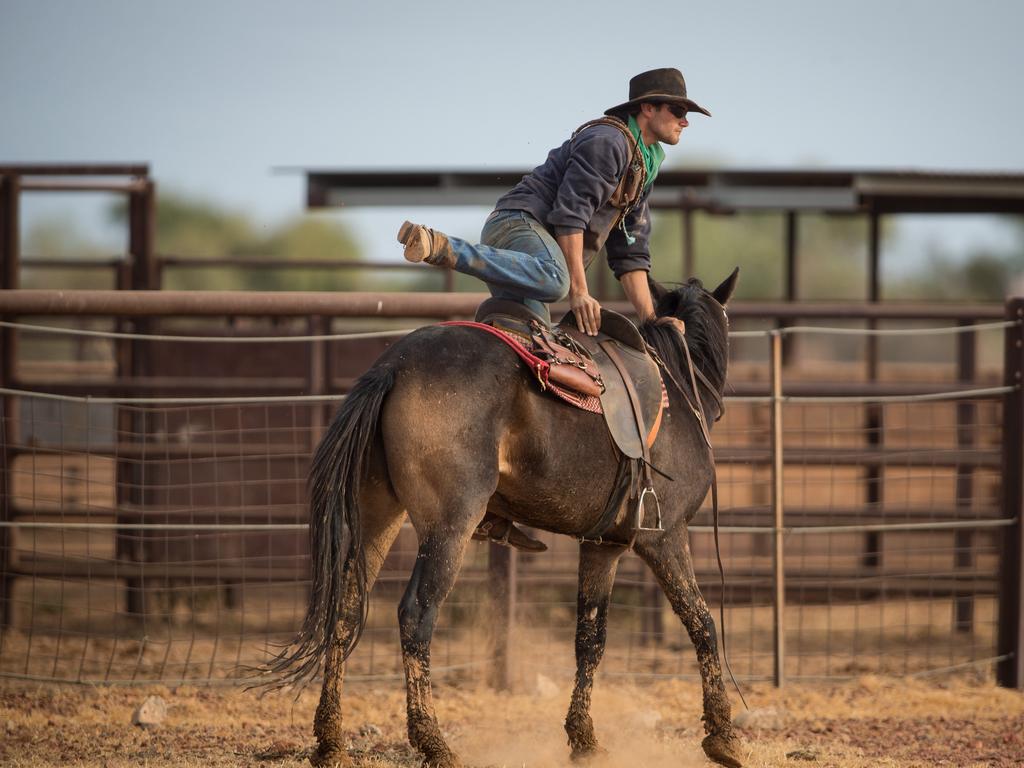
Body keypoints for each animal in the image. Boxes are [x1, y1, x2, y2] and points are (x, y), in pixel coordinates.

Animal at [268, 272, 741, 768]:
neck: (678, 389)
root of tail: (395, 366)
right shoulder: (665, 537)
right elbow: (702, 623)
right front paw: (722, 735)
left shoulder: (602, 547)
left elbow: (590, 638)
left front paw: (584, 739)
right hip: (449, 526)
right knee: (416, 614)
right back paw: (434, 742)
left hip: (378, 515)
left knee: (345, 609)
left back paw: (330, 740)